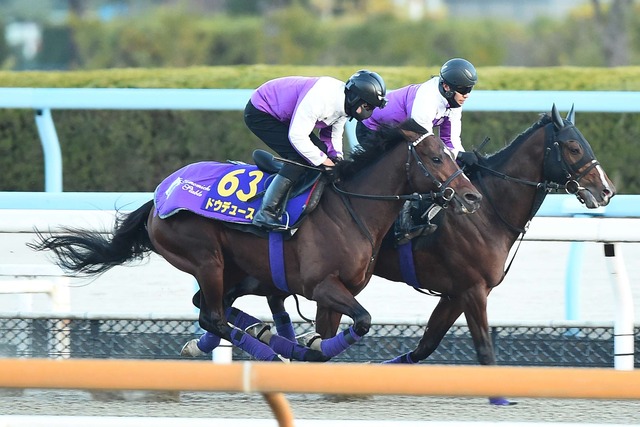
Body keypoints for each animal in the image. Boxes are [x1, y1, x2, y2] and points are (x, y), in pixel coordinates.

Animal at [28, 122, 482, 363]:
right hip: (205, 258)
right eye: (437, 158)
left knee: (210, 307)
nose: (472, 196)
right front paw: (305, 348)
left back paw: (260, 335)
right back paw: (266, 345)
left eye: (451, 153)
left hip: (239, 272)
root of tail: (160, 196)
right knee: (212, 315)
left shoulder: (336, 293)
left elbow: (335, 331)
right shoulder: (321, 286)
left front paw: (311, 346)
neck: (350, 208)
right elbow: (363, 321)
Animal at [187, 104, 615, 402]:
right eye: (573, 146)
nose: (606, 190)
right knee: (220, 303)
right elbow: (483, 347)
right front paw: (499, 396)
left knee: (227, 302)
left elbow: (426, 346)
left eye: (586, 144)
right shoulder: (472, 289)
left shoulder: (455, 293)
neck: (488, 210)